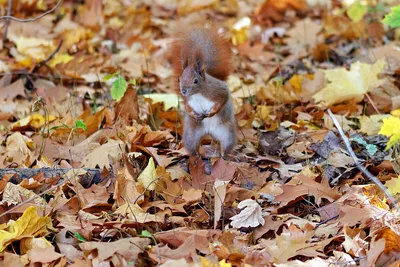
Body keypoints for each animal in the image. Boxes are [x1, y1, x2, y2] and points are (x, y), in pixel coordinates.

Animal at [170, 23, 238, 158]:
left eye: (196, 81)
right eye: (179, 79)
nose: (183, 90)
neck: (198, 94)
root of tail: (209, 132)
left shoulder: (219, 90)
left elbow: (223, 98)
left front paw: (211, 113)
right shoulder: (187, 99)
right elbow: (187, 106)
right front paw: (193, 114)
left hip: (227, 134)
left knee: (225, 145)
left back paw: (224, 155)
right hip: (191, 135)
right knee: (193, 147)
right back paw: (196, 156)